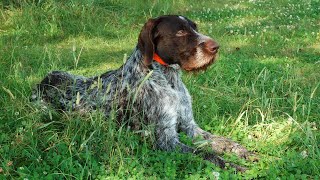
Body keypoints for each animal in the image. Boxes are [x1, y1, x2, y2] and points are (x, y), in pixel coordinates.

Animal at [32, 15, 252, 170]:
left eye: (195, 28)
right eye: (180, 33)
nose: (216, 47)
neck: (169, 79)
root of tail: (43, 81)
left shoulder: (190, 128)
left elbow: (222, 141)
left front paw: (244, 152)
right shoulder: (166, 140)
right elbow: (207, 154)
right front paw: (234, 166)